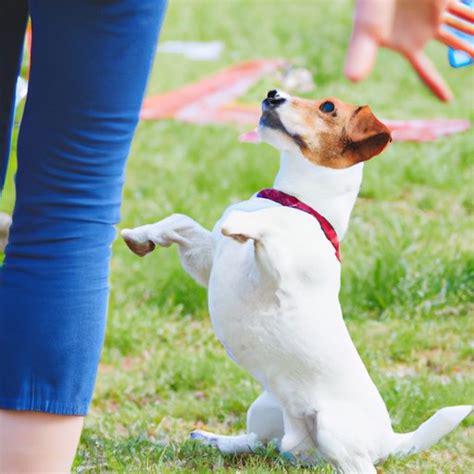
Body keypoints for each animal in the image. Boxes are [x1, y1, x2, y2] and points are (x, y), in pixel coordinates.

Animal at [121, 90, 470, 472]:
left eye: (328, 107)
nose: (273, 93)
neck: (296, 202)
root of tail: (390, 439)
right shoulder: (209, 262)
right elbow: (178, 221)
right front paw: (141, 235)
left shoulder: (277, 273)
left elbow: (267, 228)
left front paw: (243, 224)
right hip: (265, 407)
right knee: (260, 443)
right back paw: (214, 439)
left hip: (333, 429)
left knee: (356, 465)